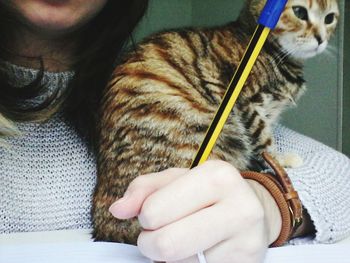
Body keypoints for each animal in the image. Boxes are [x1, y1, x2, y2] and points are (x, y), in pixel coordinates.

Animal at [91, 0, 338, 243]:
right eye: (299, 12)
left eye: (330, 18)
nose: (320, 39)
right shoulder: (248, 104)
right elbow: (263, 139)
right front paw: (281, 159)